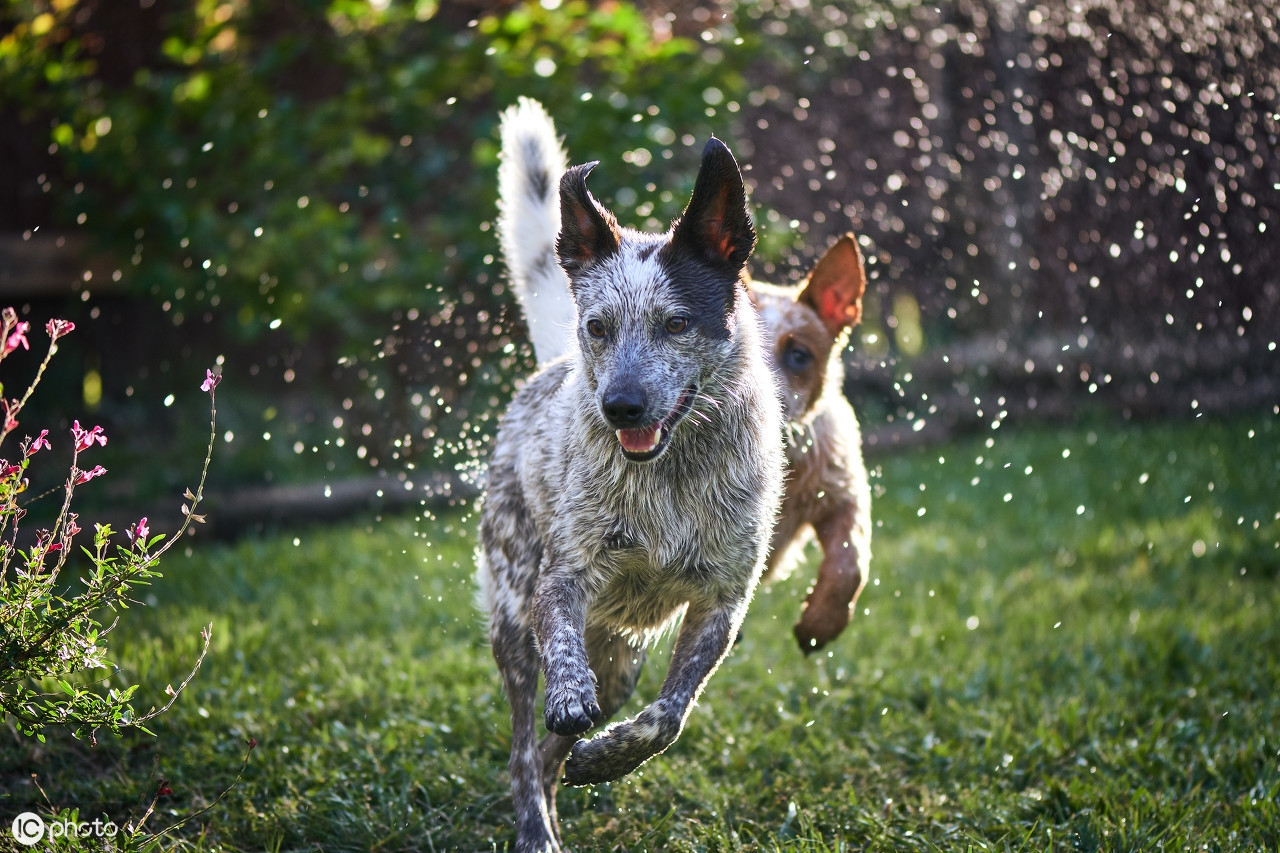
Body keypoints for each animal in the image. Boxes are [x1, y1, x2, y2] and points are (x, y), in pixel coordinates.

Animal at [478, 96, 778, 845]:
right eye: (598, 325)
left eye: (676, 323)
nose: (621, 406)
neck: (671, 475)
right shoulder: (560, 582)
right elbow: (562, 658)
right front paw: (571, 705)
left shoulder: (722, 603)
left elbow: (667, 717)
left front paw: (609, 754)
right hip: (512, 618)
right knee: (523, 747)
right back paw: (537, 829)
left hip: (620, 656)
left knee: (551, 752)